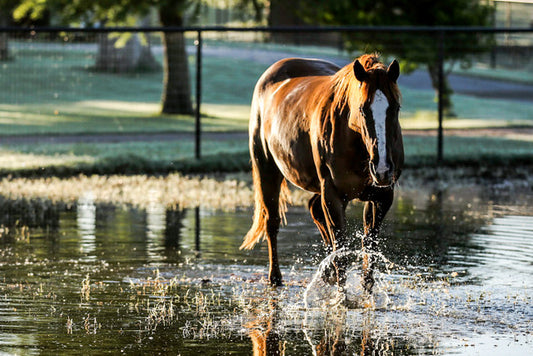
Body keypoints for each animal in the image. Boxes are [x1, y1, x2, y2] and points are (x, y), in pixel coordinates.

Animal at [239, 52, 402, 292]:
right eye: (363, 109)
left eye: (396, 108)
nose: (382, 169)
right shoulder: (333, 195)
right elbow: (341, 250)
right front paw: (342, 296)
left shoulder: (381, 196)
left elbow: (369, 245)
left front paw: (366, 289)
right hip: (267, 169)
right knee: (272, 222)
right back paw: (275, 278)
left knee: (314, 208)